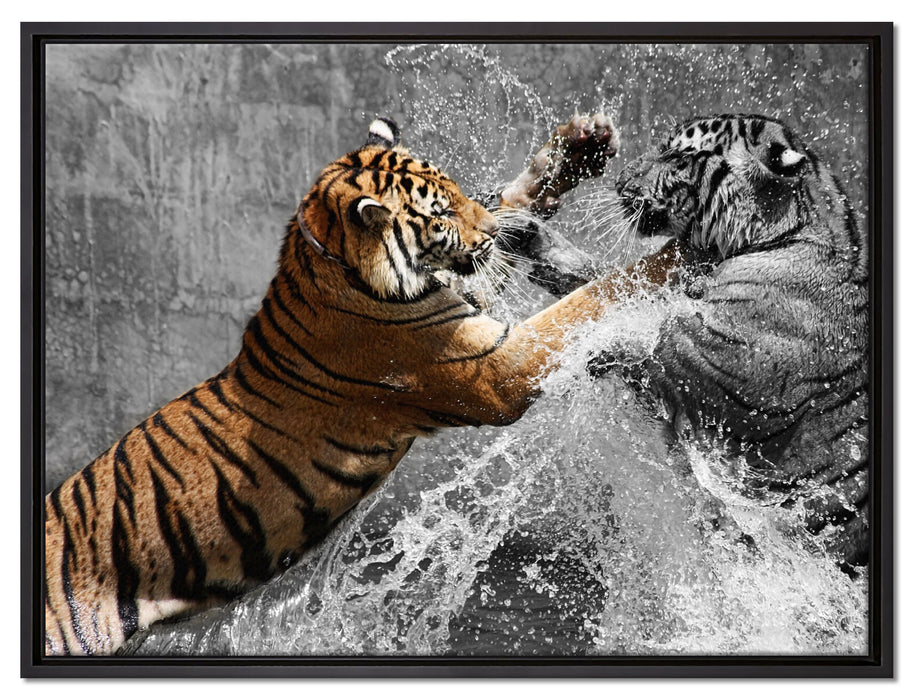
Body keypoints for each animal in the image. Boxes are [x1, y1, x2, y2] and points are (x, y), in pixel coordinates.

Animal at [44, 114, 688, 655]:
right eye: (441, 215)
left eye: (457, 191)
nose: (483, 227)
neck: (333, 263)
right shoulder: (495, 366)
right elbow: (590, 298)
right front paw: (677, 256)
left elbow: (511, 208)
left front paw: (578, 147)